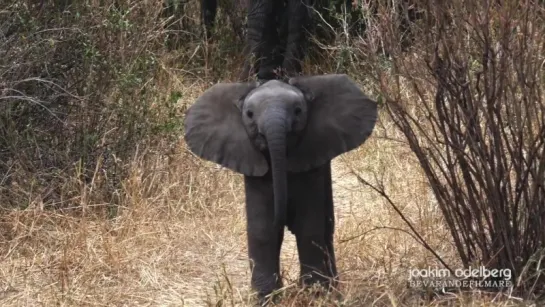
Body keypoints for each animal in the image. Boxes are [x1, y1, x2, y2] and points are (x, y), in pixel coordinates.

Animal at [185, 74, 376, 304]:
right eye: (249, 114)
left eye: (298, 111)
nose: (284, 220)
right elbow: (263, 230)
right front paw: (266, 300)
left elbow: (308, 228)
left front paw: (315, 295)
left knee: (327, 225)